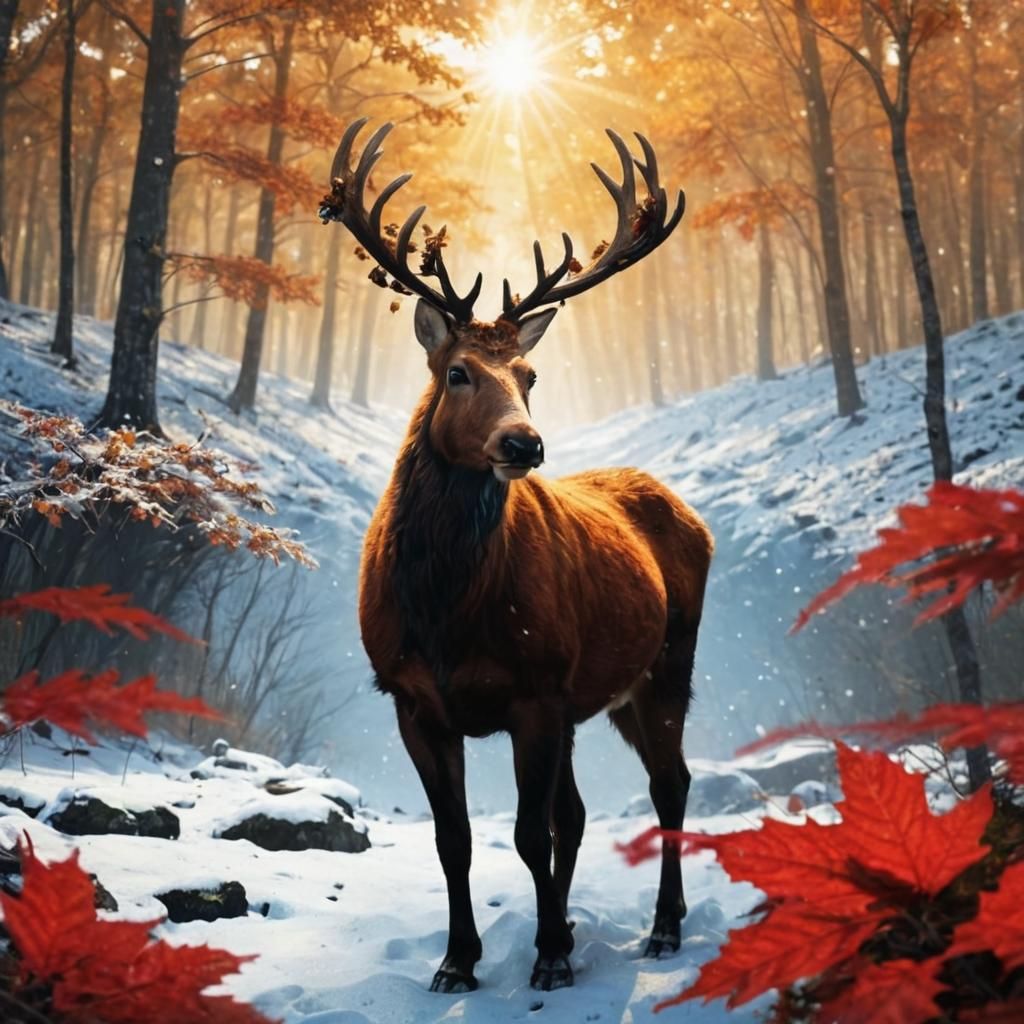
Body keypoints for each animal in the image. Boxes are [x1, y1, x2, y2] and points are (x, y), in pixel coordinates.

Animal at [319, 119, 714, 994]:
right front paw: (457, 962)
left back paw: (663, 928)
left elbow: (531, 833)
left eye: (530, 374)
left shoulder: (535, 689)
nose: (523, 443)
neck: (445, 613)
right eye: (459, 372)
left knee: (667, 783)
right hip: (595, 695)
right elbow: (456, 839)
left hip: (667, 661)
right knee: (584, 808)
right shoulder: (412, 699)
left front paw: (550, 957)